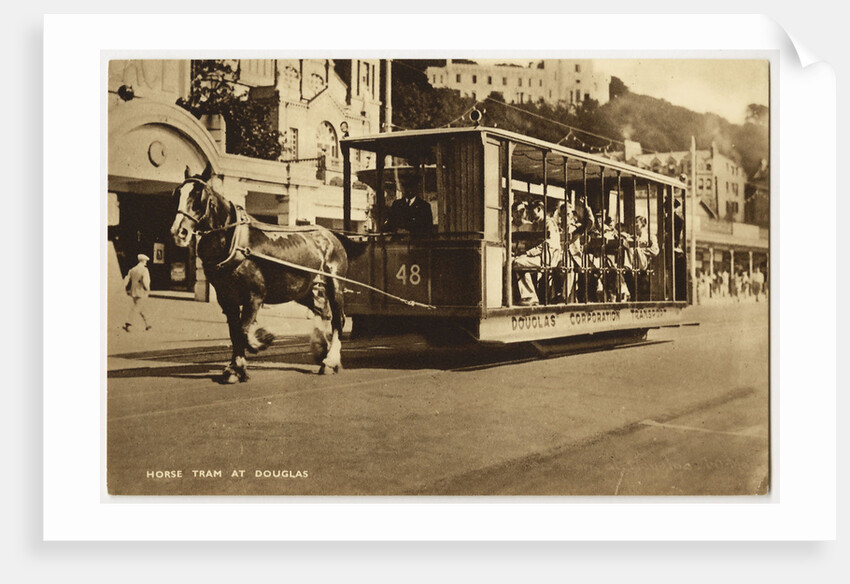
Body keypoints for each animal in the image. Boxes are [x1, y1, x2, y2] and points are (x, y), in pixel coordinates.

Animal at [169, 164, 362, 384]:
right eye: (178, 193)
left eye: (198, 194)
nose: (179, 232)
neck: (235, 242)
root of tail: (332, 234)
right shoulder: (227, 299)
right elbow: (235, 332)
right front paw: (235, 368)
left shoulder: (254, 296)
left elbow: (243, 331)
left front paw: (260, 341)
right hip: (304, 291)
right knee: (324, 313)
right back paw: (323, 350)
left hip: (335, 285)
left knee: (338, 319)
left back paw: (330, 360)